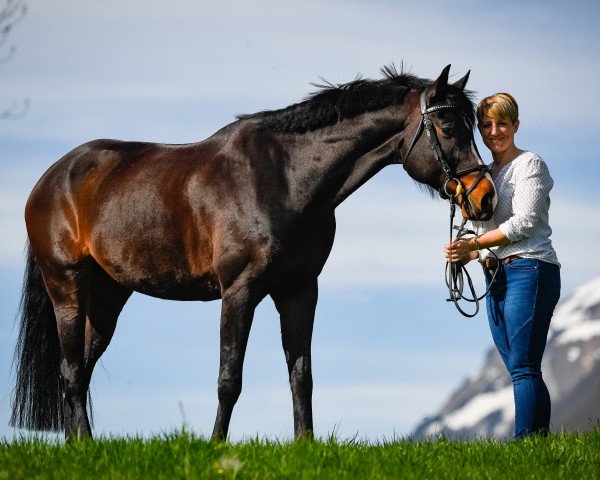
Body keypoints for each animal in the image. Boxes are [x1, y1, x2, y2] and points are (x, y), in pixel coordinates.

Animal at [10, 65, 496, 440]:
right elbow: (230, 379)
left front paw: (305, 446)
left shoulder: (300, 290)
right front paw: (215, 447)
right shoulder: (239, 292)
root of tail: (50, 178)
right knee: (72, 372)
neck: (285, 178)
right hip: (67, 289)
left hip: (109, 297)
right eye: (447, 127)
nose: (484, 197)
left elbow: (302, 375)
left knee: (81, 369)